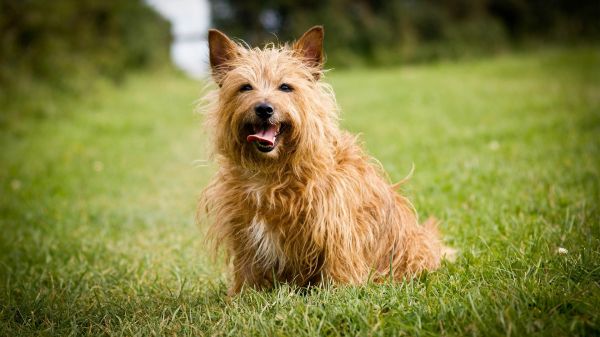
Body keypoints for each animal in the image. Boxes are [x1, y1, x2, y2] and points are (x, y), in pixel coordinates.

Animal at [202, 26, 450, 294]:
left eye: (285, 87)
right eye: (245, 87)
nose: (264, 108)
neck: (271, 170)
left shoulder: (336, 224)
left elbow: (338, 262)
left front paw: (339, 292)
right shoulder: (244, 230)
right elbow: (247, 268)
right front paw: (242, 296)